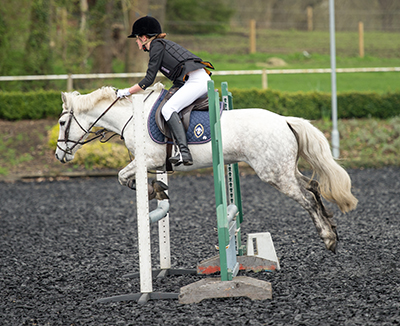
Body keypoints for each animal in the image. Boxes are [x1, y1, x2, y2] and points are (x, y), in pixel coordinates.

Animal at [54, 81, 358, 252]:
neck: (131, 117)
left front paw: (153, 189)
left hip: (274, 174)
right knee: (314, 185)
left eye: (61, 122)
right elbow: (130, 179)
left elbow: (121, 176)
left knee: (307, 199)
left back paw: (328, 238)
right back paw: (333, 227)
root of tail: (284, 119)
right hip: (284, 169)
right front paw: (159, 189)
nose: (59, 156)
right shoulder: (152, 163)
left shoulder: (146, 161)